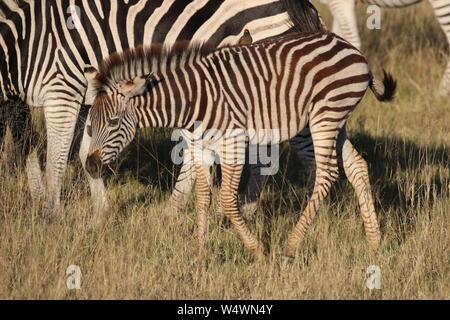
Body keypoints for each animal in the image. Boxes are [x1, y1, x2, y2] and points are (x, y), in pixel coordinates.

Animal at [0, 0, 324, 221]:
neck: (22, 39)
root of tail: (303, 7)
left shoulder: (62, 88)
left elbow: (55, 157)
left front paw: (49, 215)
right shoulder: (88, 97)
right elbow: (79, 151)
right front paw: (101, 213)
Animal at [82, 31, 396, 258]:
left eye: (112, 123)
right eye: (89, 124)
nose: (91, 165)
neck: (191, 101)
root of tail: (351, 48)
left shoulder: (232, 144)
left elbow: (227, 201)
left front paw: (256, 250)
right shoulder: (199, 149)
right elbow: (203, 198)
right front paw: (200, 251)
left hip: (325, 117)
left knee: (328, 173)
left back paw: (291, 246)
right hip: (335, 121)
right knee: (356, 166)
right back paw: (374, 242)